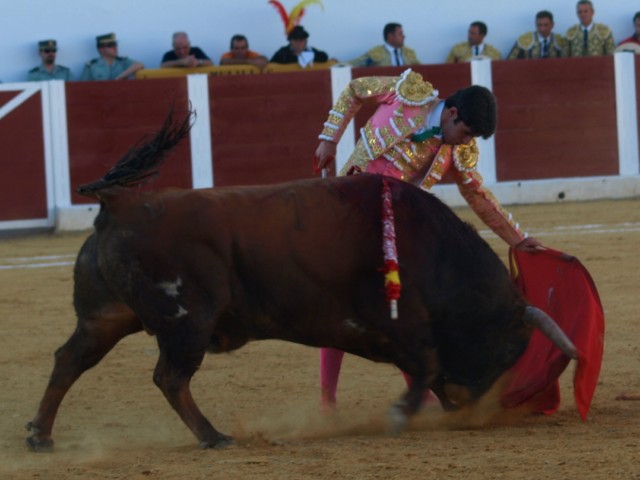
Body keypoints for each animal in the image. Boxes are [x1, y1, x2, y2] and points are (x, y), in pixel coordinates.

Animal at [26, 110, 576, 452]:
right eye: (509, 349)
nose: (473, 410)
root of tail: (121, 204)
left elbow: (425, 368)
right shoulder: (405, 325)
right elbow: (426, 365)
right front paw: (400, 415)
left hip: (106, 316)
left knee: (69, 360)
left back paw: (40, 436)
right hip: (187, 321)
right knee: (170, 377)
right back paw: (213, 436)